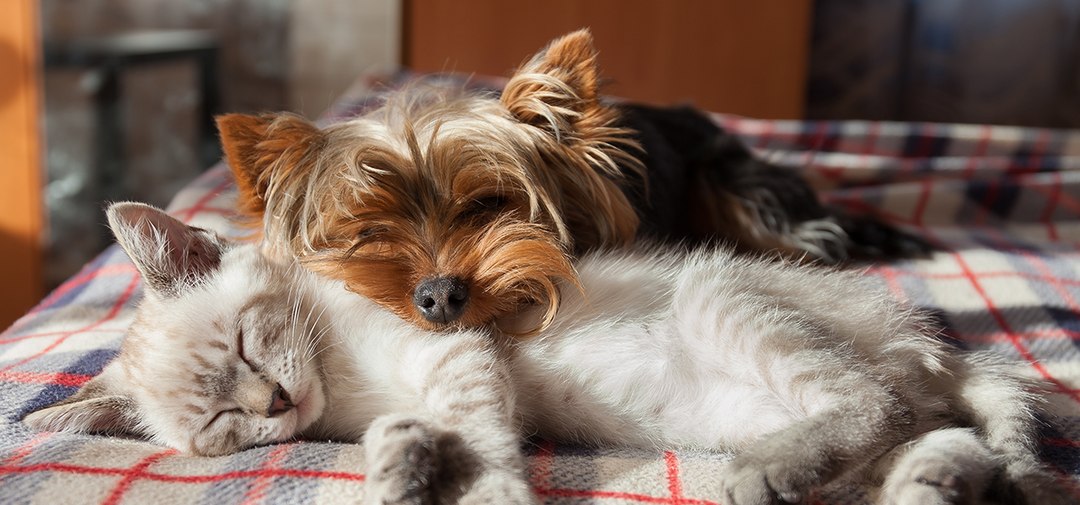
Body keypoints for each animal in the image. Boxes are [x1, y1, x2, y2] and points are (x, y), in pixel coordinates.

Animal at [25, 201, 1071, 505]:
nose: (277, 406)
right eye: (219, 423)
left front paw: (486, 489)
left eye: (247, 344)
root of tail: (917, 336)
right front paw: (403, 469)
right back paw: (930, 483)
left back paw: (768, 475)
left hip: (730, 307)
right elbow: (418, 435)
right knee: (933, 437)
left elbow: (487, 436)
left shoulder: (459, 350)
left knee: (874, 403)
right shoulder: (414, 391)